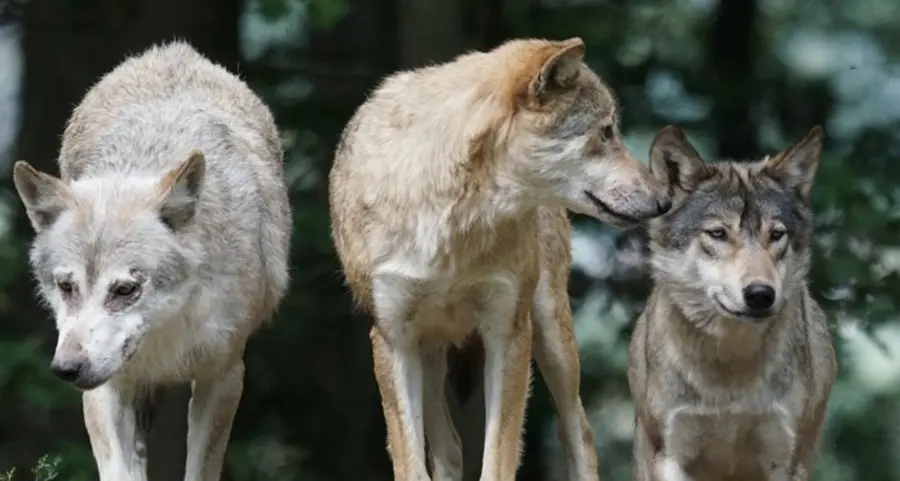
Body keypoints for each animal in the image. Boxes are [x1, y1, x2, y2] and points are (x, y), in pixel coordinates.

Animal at [12, 42, 292, 481]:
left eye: (125, 289)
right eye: (67, 286)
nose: (67, 368)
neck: (164, 334)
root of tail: (172, 50)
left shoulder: (224, 377)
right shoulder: (108, 387)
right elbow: (118, 471)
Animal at [329, 37, 673, 481]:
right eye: (606, 132)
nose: (665, 201)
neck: (455, 222)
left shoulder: (508, 333)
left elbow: (497, 460)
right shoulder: (392, 338)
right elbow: (412, 465)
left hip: (552, 335)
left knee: (578, 429)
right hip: (430, 350)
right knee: (450, 447)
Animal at [628, 125, 836, 481]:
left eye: (776, 235)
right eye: (718, 233)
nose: (760, 294)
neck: (730, 366)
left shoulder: (784, 459)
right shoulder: (669, 455)